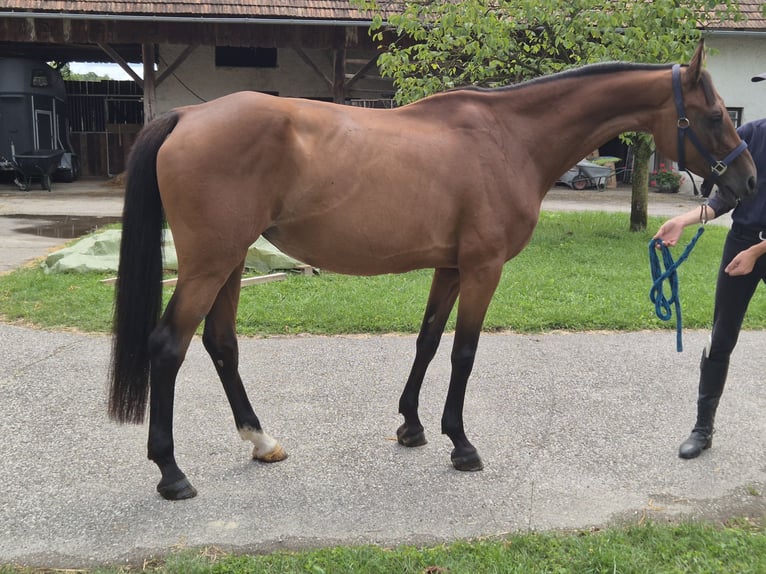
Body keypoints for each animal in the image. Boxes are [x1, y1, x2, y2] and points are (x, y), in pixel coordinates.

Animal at [109, 40, 756, 500]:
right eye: (715, 115)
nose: (749, 182)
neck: (510, 138)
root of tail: (188, 115)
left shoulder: (450, 266)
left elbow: (426, 340)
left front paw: (412, 426)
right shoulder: (483, 268)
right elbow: (464, 351)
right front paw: (460, 444)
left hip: (232, 261)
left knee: (221, 343)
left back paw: (260, 440)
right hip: (210, 264)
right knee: (168, 347)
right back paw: (171, 473)